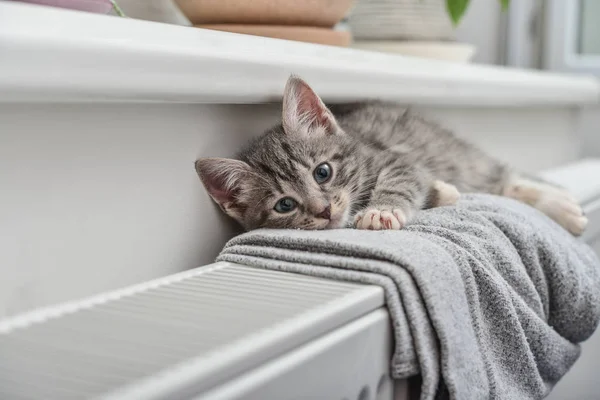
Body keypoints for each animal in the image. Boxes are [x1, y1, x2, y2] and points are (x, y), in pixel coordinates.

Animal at [196, 76, 584, 234]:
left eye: (323, 172)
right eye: (285, 205)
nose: (324, 211)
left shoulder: (394, 159)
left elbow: (402, 179)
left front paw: (381, 210)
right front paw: (441, 194)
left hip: (459, 156)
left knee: (505, 179)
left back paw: (561, 205)